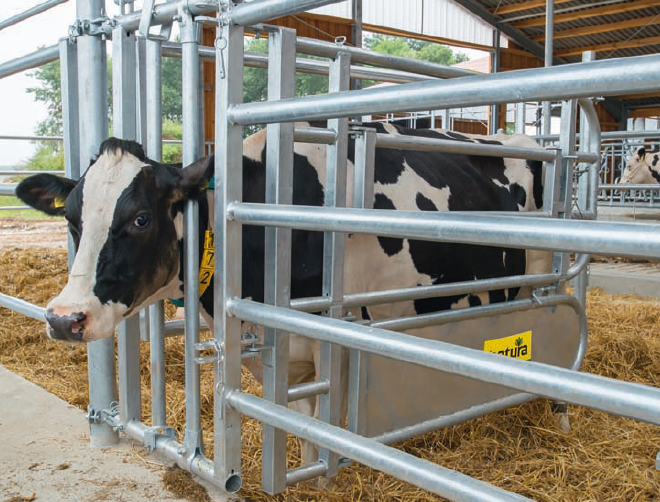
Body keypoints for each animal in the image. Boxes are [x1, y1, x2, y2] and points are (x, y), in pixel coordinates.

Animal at [16, 123, 548, 464]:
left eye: (141, 218)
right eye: (71, 219)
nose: (64, 317)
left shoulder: (341, 335)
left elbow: (327, 425)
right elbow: (301, 420)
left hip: (538, 282)